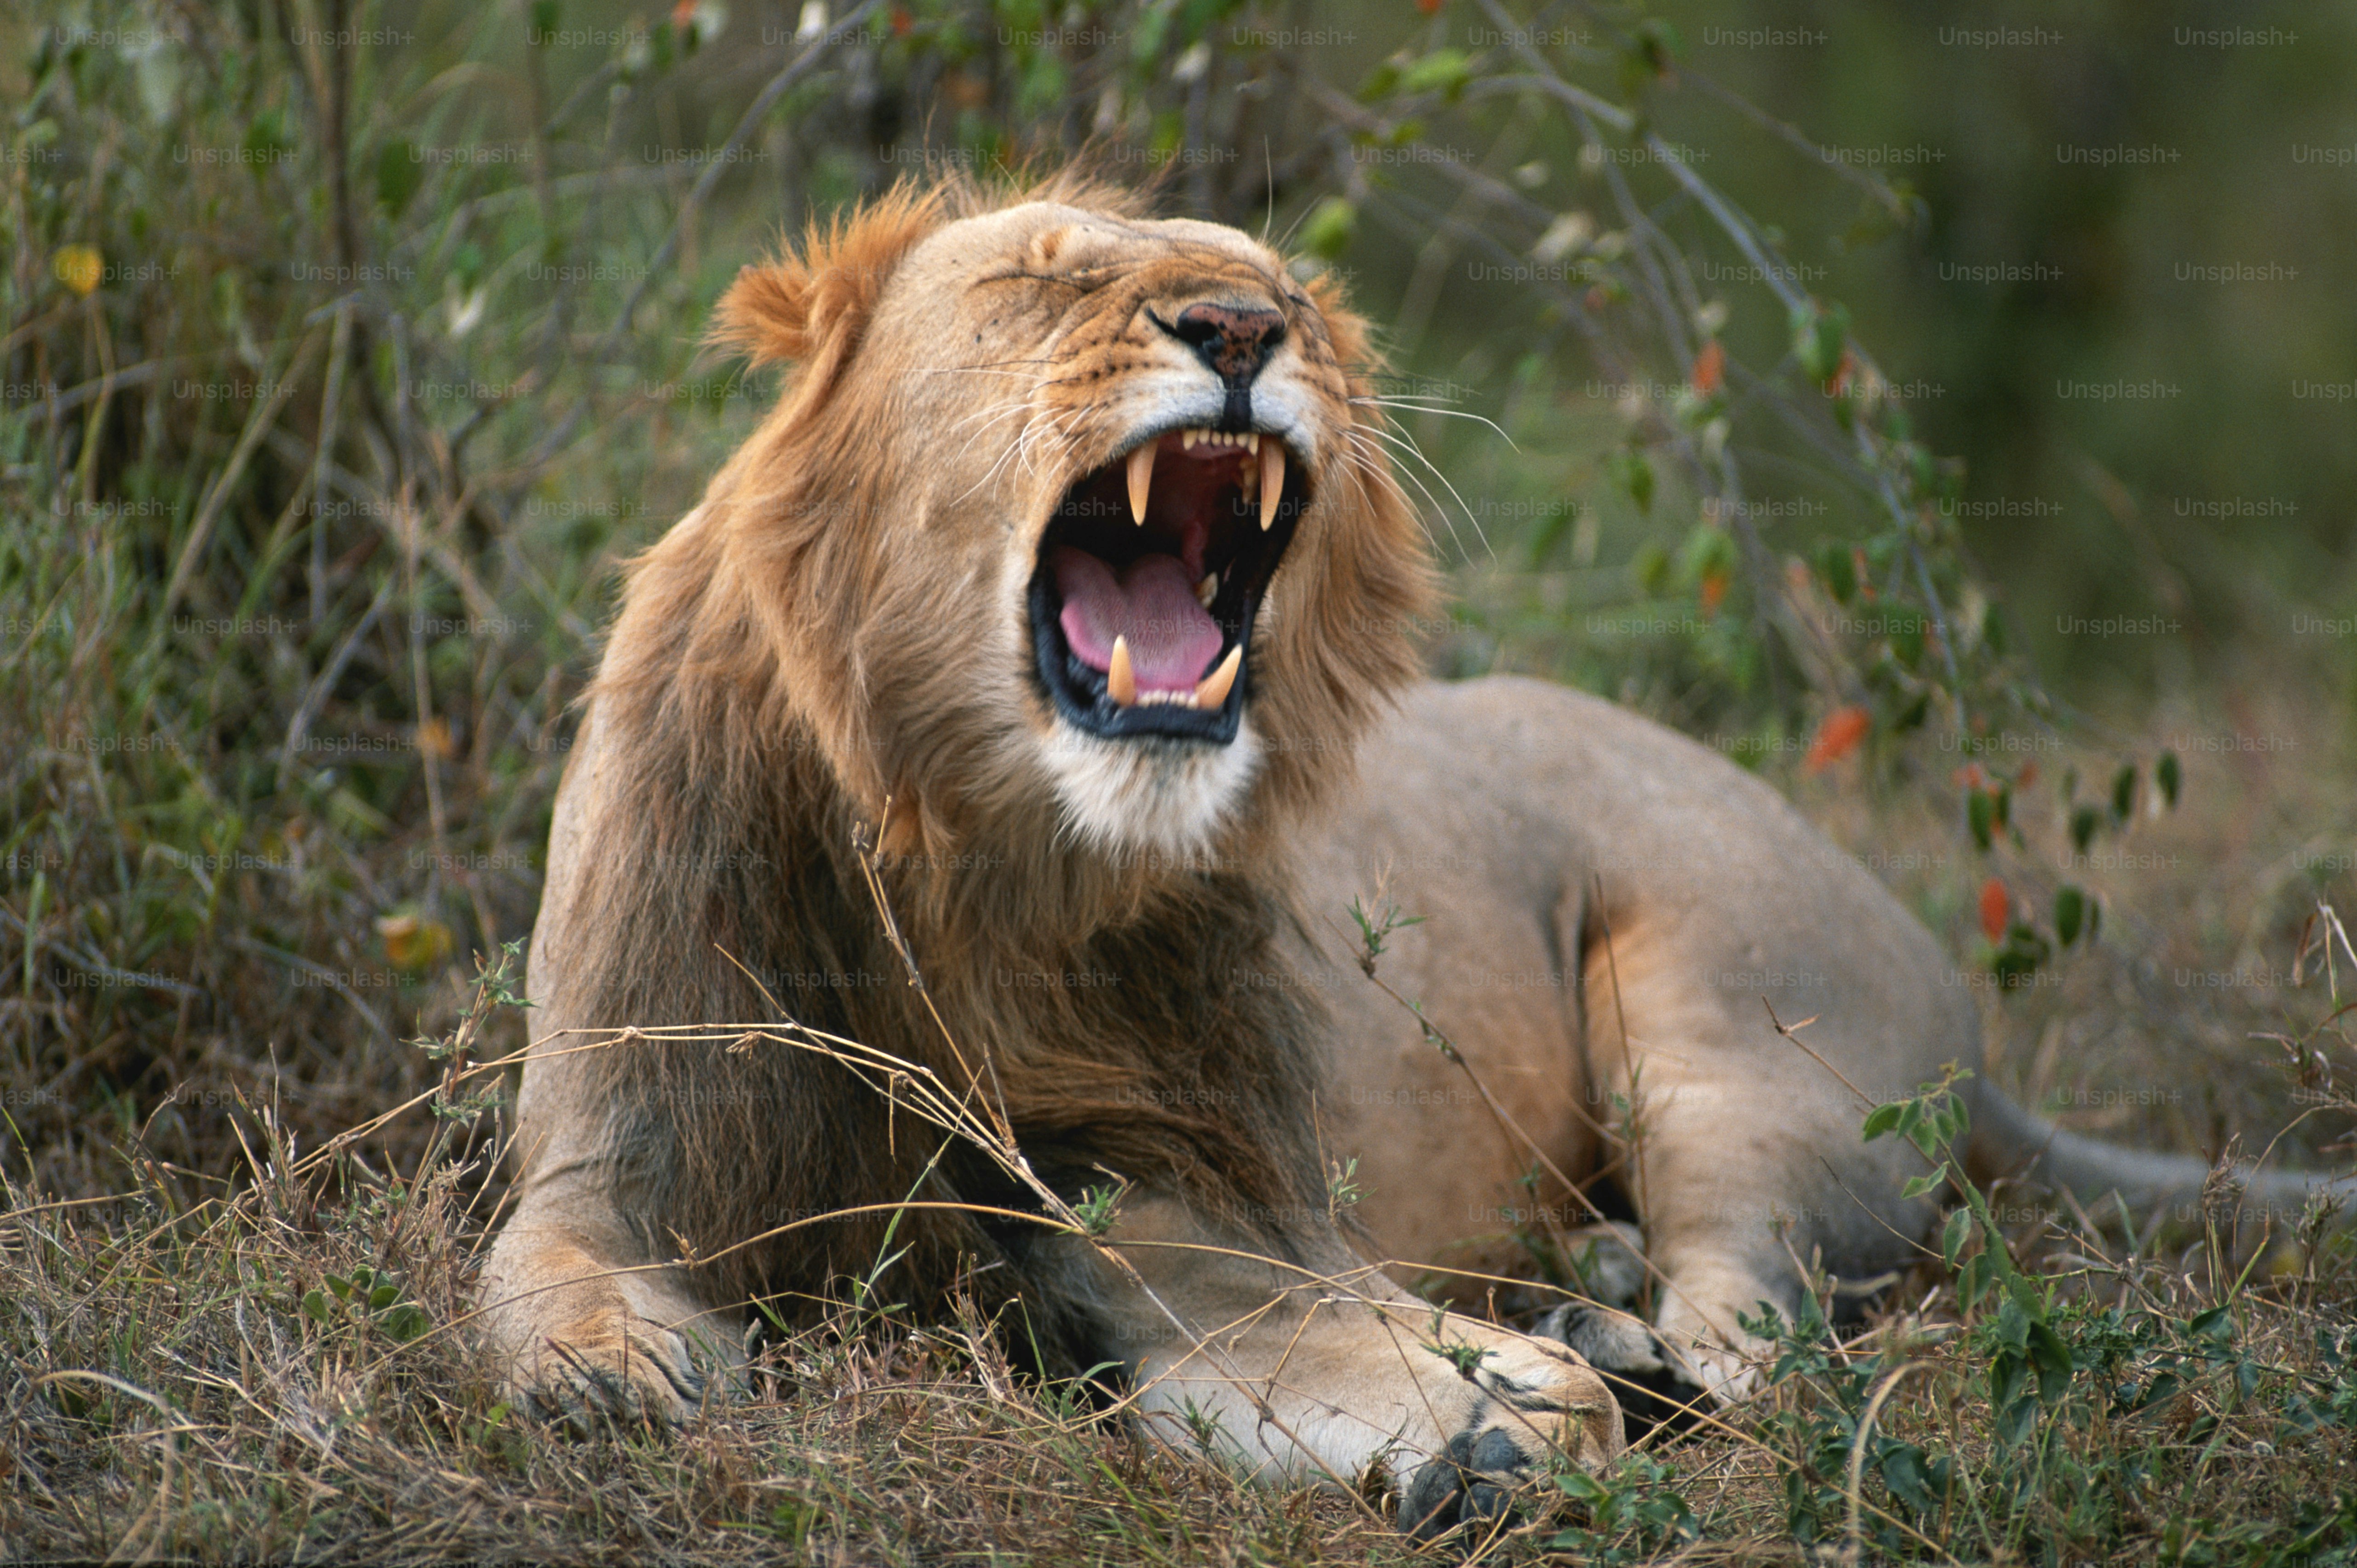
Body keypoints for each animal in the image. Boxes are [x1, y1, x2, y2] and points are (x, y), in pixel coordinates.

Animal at [480, 175, 2345, 1537]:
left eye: (1281, 292)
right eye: (1034, 275)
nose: (1238, 327)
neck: (979, 862)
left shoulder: (1210, 1211)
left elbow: (1321, 1338)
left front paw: (1494, 1418)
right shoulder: (613, 1151)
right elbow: (536, 1276)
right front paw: (616, 1369)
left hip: (1729, 1026)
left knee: (1763, 1332)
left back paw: (1613, 1339)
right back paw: (1588, 1304)